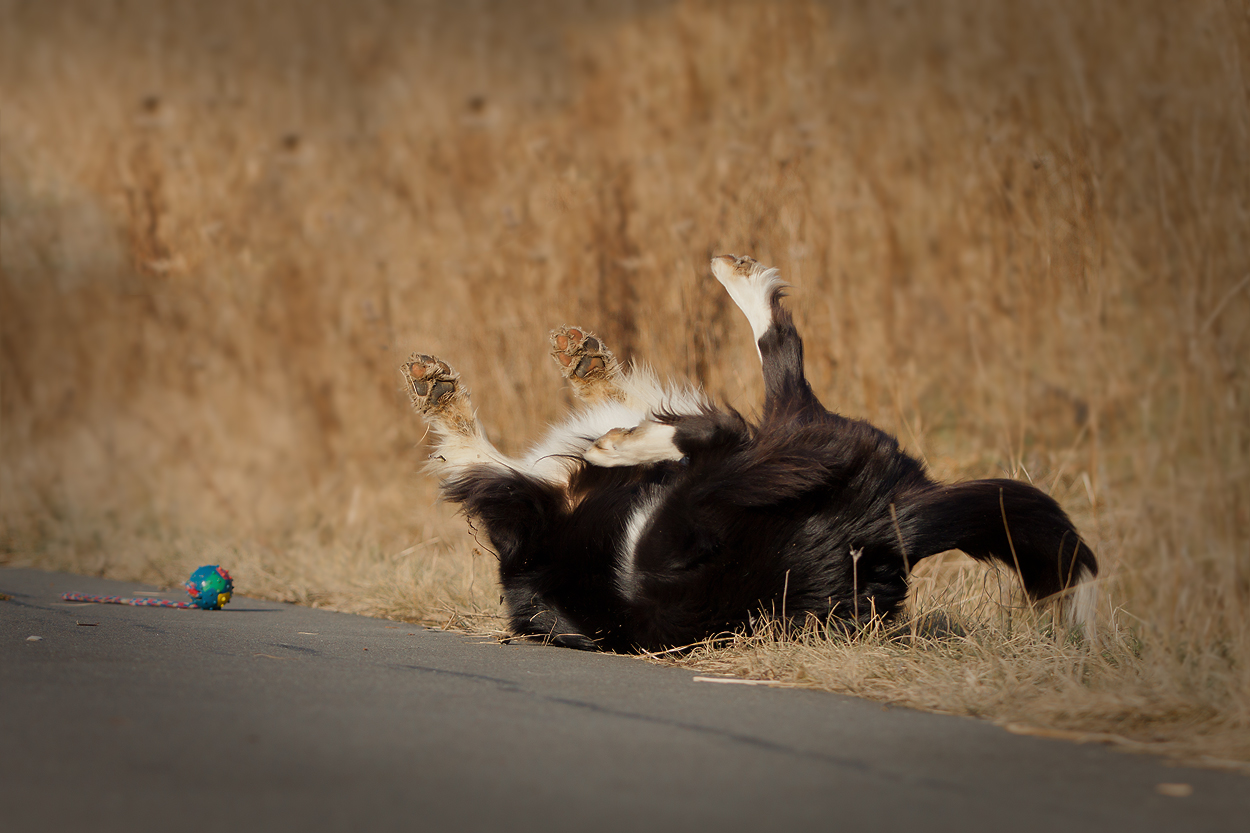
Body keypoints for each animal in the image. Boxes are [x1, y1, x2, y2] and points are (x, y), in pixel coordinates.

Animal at [402, 252, 1095, 650]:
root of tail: (885, 531)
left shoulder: (530, 506)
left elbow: (474, 451)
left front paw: (448, 391)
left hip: (692, 516)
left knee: (734, 418)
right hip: (775, 468)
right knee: (771, 389)